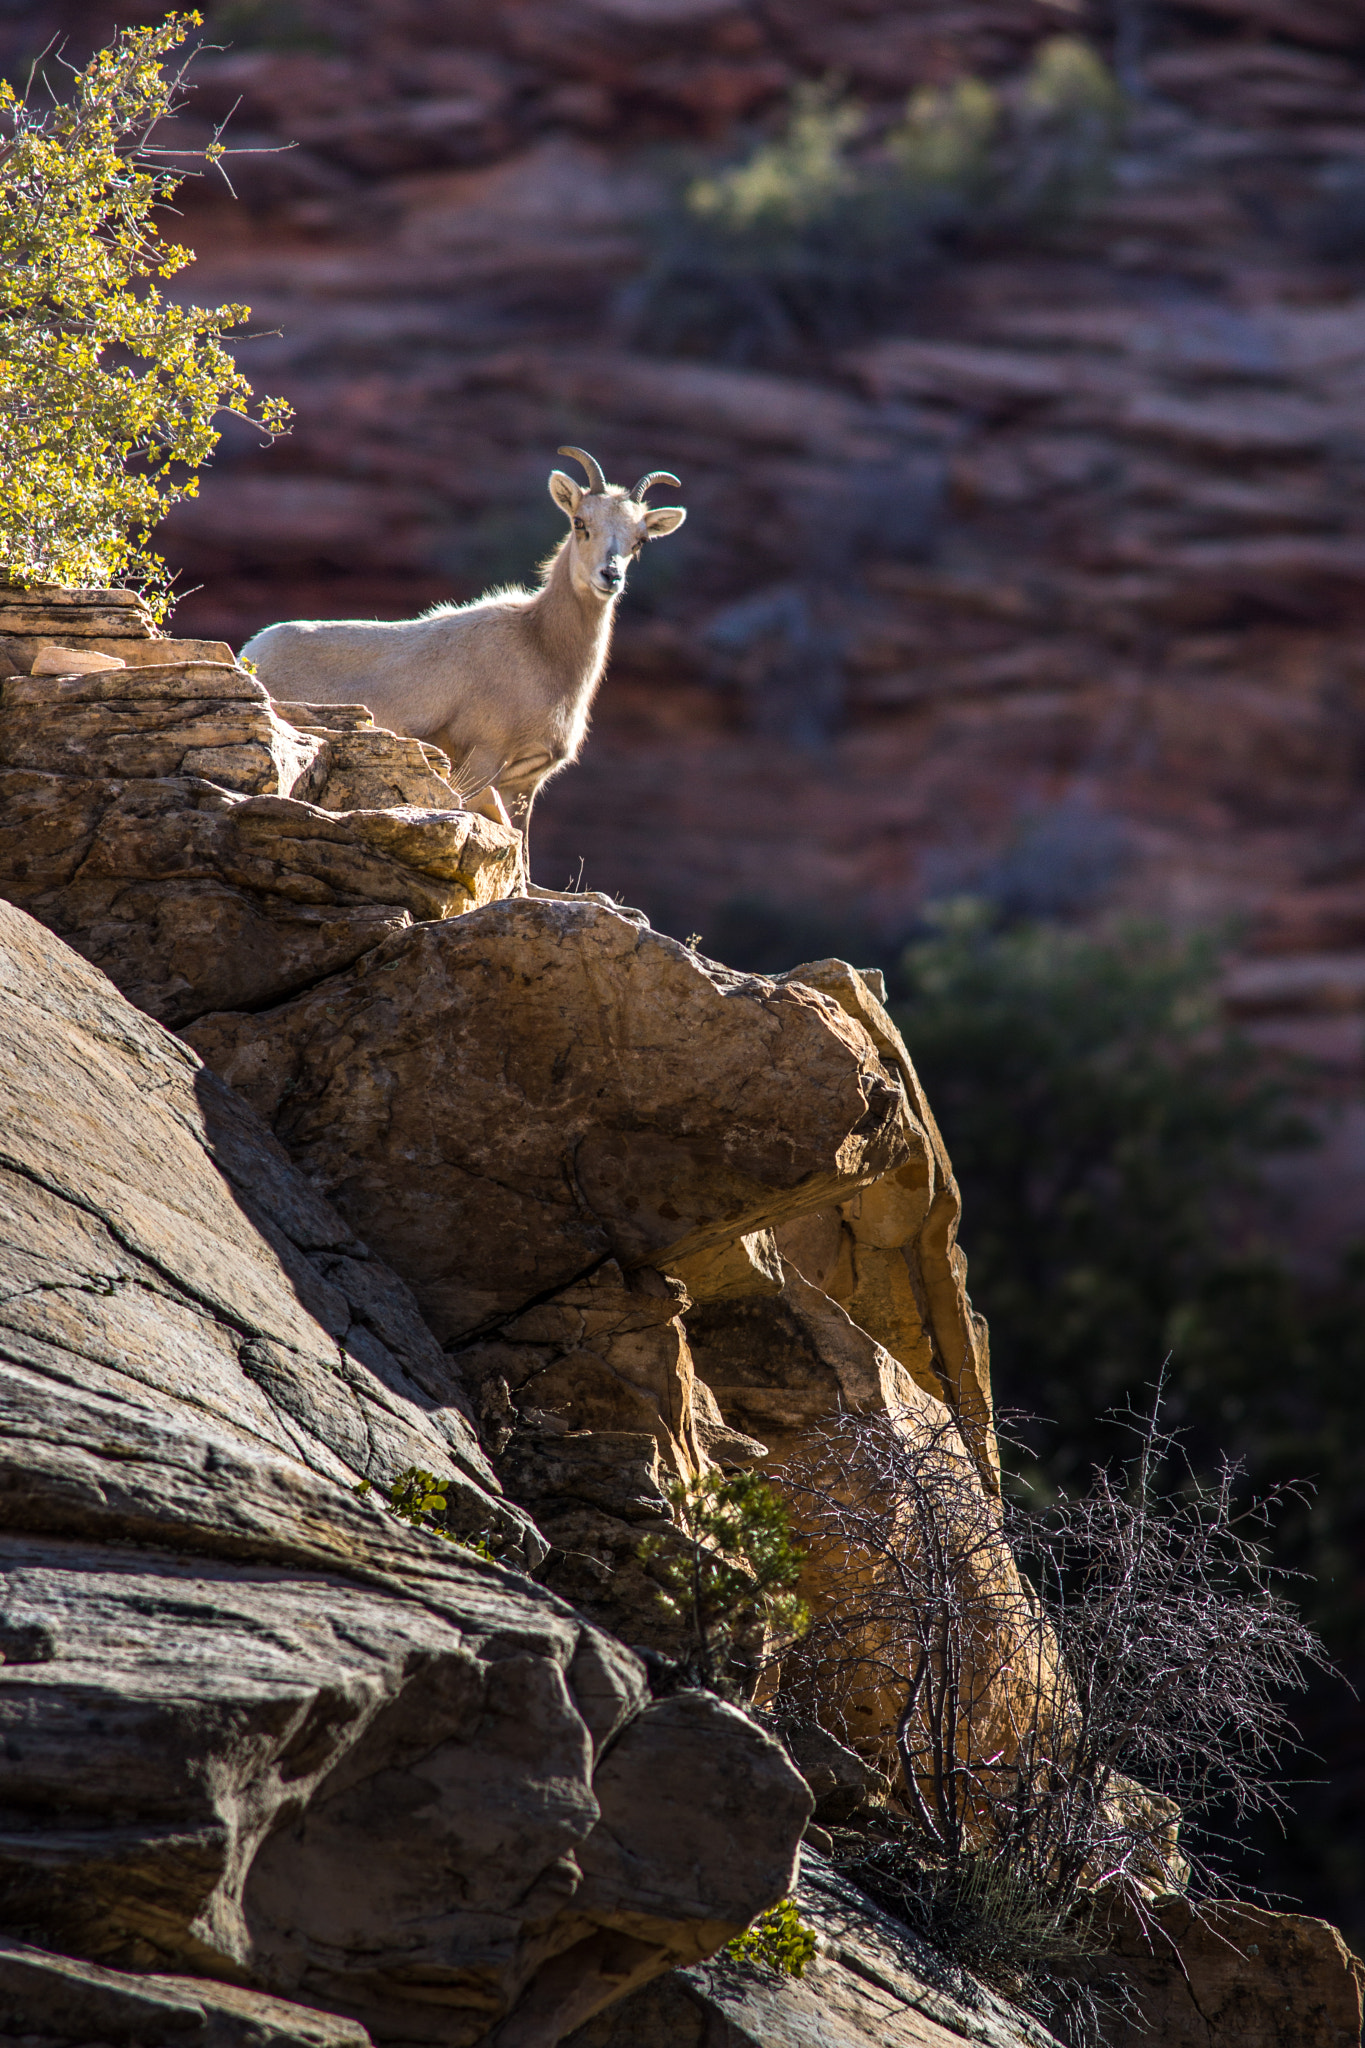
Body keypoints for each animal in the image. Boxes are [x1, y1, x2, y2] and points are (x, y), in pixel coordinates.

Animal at [241, 446, 687, 831]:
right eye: (580, 523)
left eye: (640, 540)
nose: (610, 576)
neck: (540, 647)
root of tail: (252, 653)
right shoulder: (482, 760)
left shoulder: (524, 783)